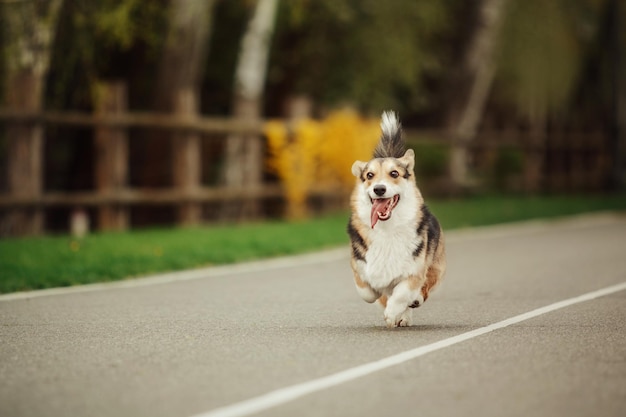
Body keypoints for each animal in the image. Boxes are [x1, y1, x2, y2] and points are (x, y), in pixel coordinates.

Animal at [346, 112, 444, 326]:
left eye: (394, 173)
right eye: (369, 175)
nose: (379, 189)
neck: (387, 229)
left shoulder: (414, 270)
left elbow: (402, 294)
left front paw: (392, 313)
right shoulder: (360, 267)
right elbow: (367, 291)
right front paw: (380, 296)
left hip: (436, 265)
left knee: (422, 289)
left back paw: (410, 305)